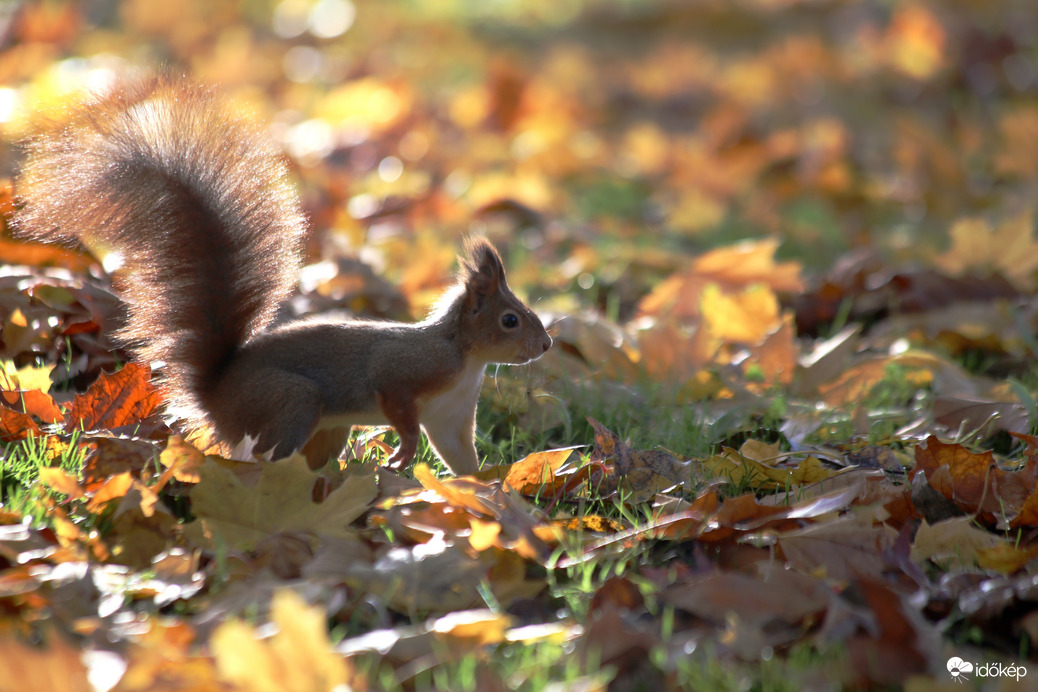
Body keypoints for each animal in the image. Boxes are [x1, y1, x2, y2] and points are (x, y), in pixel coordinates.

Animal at [16, 77, 552, 477]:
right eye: (510, 319)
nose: (545, 345)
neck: (467, 357)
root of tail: (214, 394)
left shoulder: (453, 418)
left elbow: (461, 460)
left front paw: (489, 493)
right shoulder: (407, 373)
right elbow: (399, 408)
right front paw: (401, 453)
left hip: (324, 427)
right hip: (292, 402)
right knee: (262, 458)